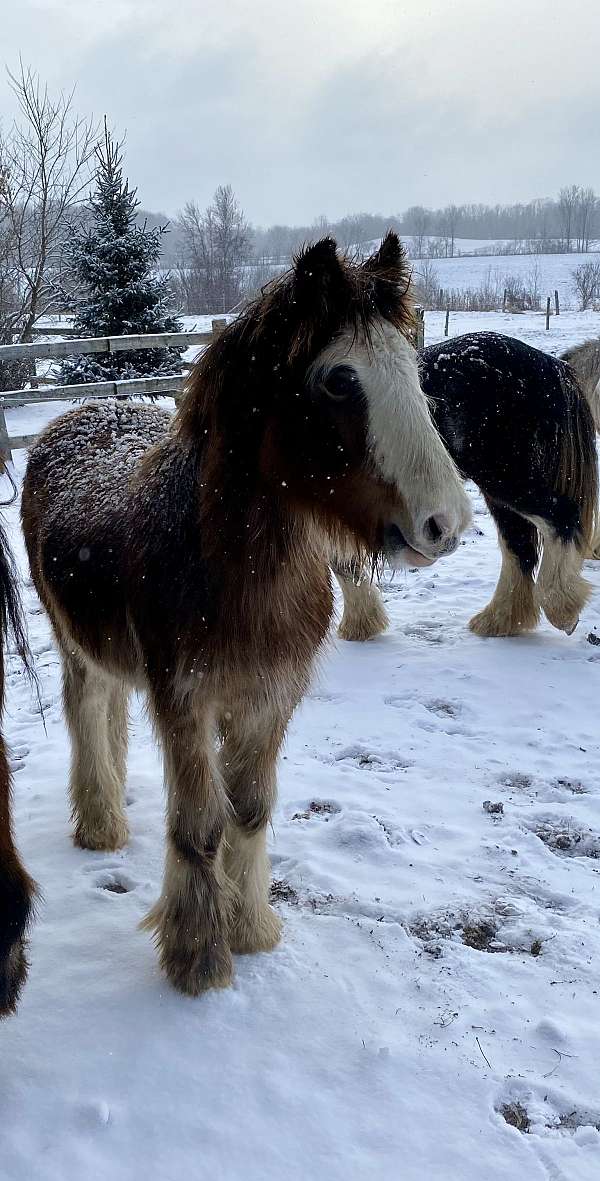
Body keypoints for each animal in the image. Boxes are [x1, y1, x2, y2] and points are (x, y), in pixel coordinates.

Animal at [21, 235, 470, 1001]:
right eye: (339, 380)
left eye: (411, 370)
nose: (445, 522)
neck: (242, 577)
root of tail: (71, 419)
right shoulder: (185, 703)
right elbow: (201, 826)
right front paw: (198, 957)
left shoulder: (269, 699)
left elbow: (251, 811)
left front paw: (252, 928)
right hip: (74, 642)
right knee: (85, 707)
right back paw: (101, 822)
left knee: (108, 709)